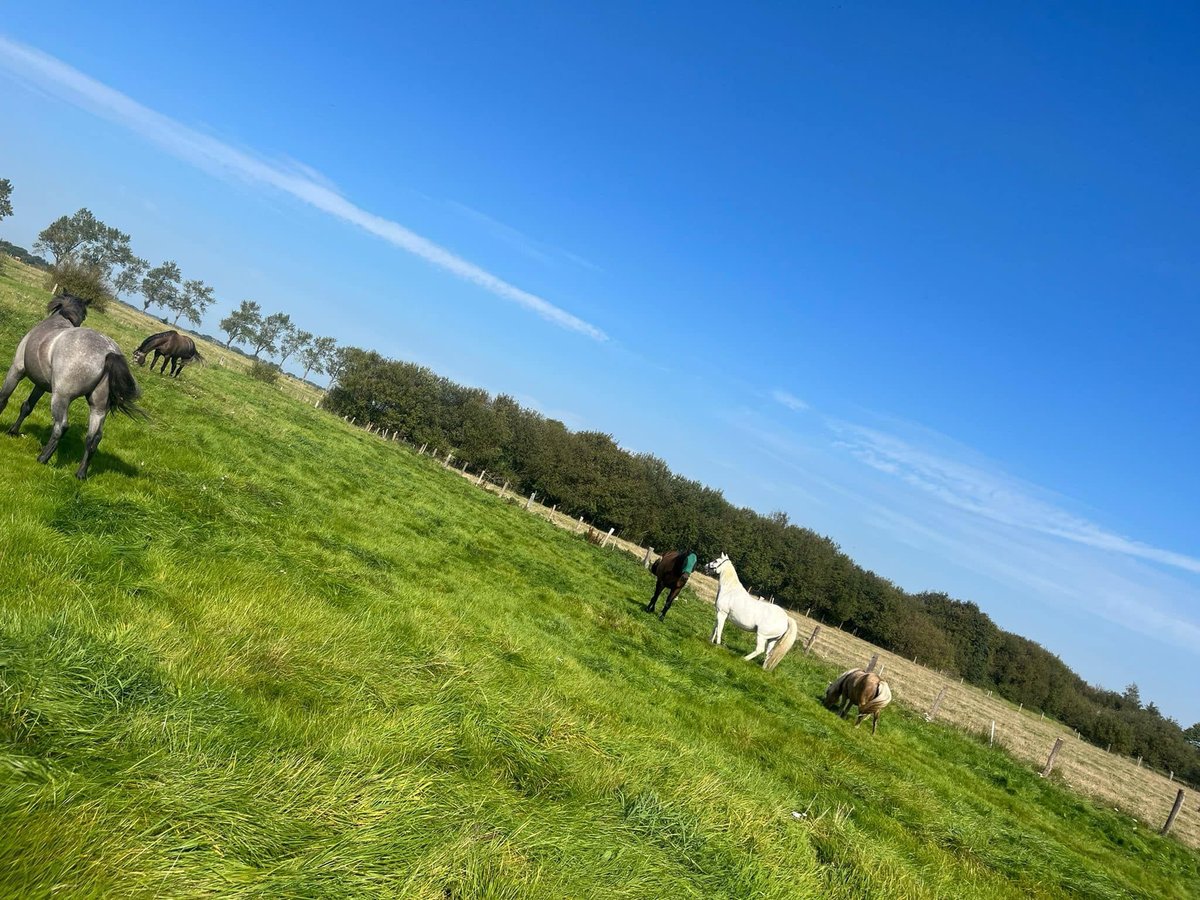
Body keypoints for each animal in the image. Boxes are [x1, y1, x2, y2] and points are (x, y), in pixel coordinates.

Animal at [0, 296, 143, 480]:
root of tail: (109, 351)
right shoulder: (40, 385)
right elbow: (27, 406)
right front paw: (13, 431)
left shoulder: (17, 370)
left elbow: (4, 398)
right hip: (98, 408)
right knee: (93, 438)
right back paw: (81, 473)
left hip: (61, 397)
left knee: (61, 426)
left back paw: (43, 458)